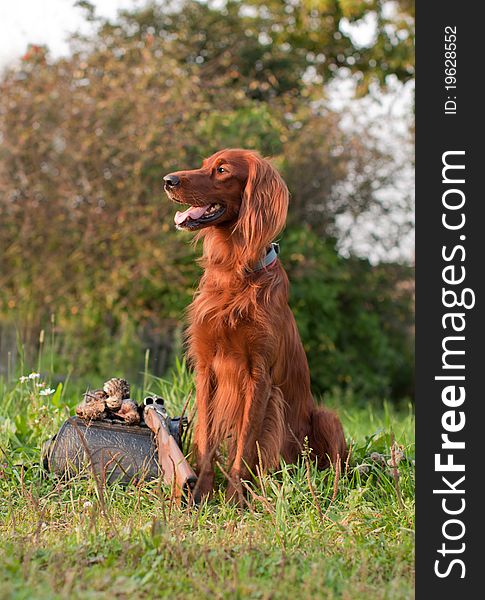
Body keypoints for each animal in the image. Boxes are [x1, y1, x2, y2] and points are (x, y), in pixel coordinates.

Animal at [164, 150, 346, 502]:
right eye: (204, 163)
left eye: (222, 170)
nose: (168, 180)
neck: (235, 272)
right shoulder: (206, 368)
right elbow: (207, 440)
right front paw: (201, 495)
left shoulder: (259, 376)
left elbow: (246, 445)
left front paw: (236, 501)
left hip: (327, 419)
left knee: (335, 470)